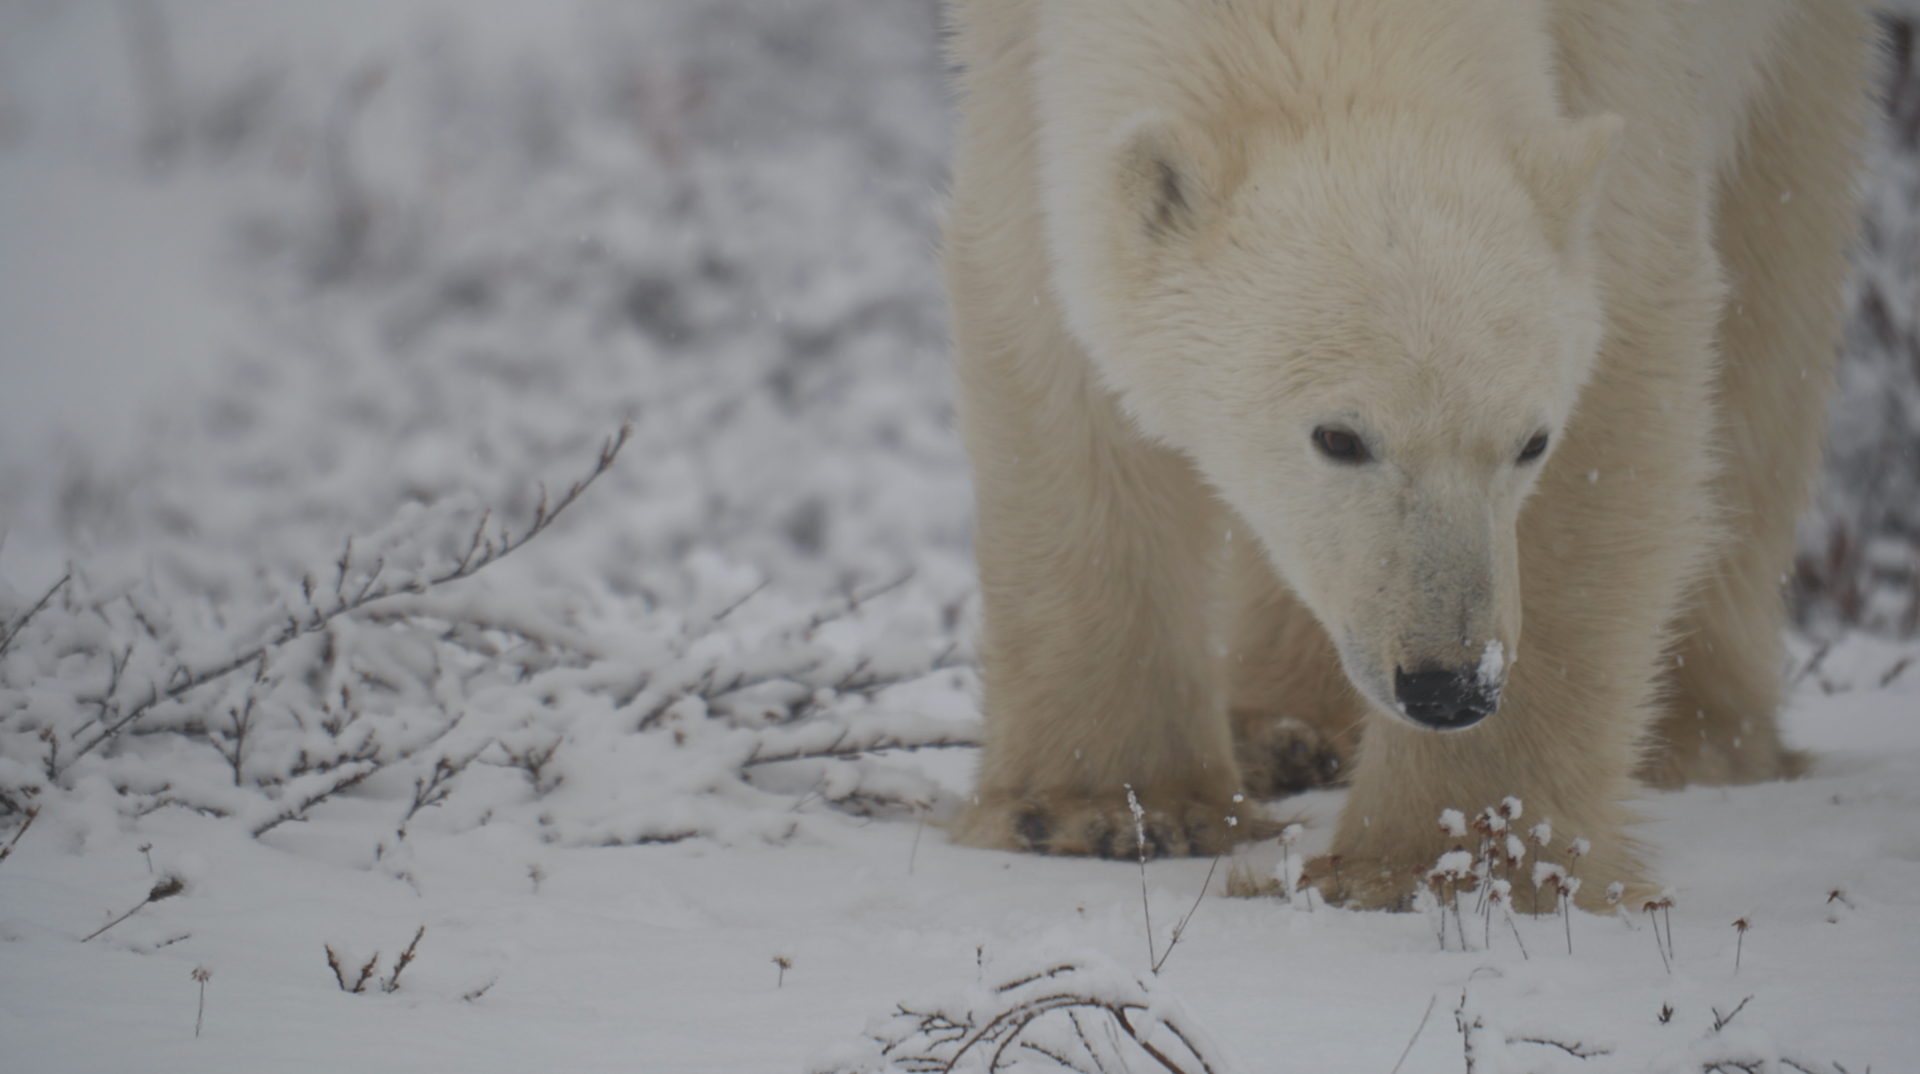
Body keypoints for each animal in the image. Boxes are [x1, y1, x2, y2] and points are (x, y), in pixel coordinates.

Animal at [940, 0, 1872, 909]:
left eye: (1532, 442)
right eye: (1338, 436)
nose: (1450, 684)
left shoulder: (1635, 50)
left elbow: (1630, 352)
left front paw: (1438, 860)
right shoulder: (1017, 52)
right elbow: (1045, 328)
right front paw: (1104, 810)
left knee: (1776, 284)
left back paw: (1699, 735)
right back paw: (1284, 729)